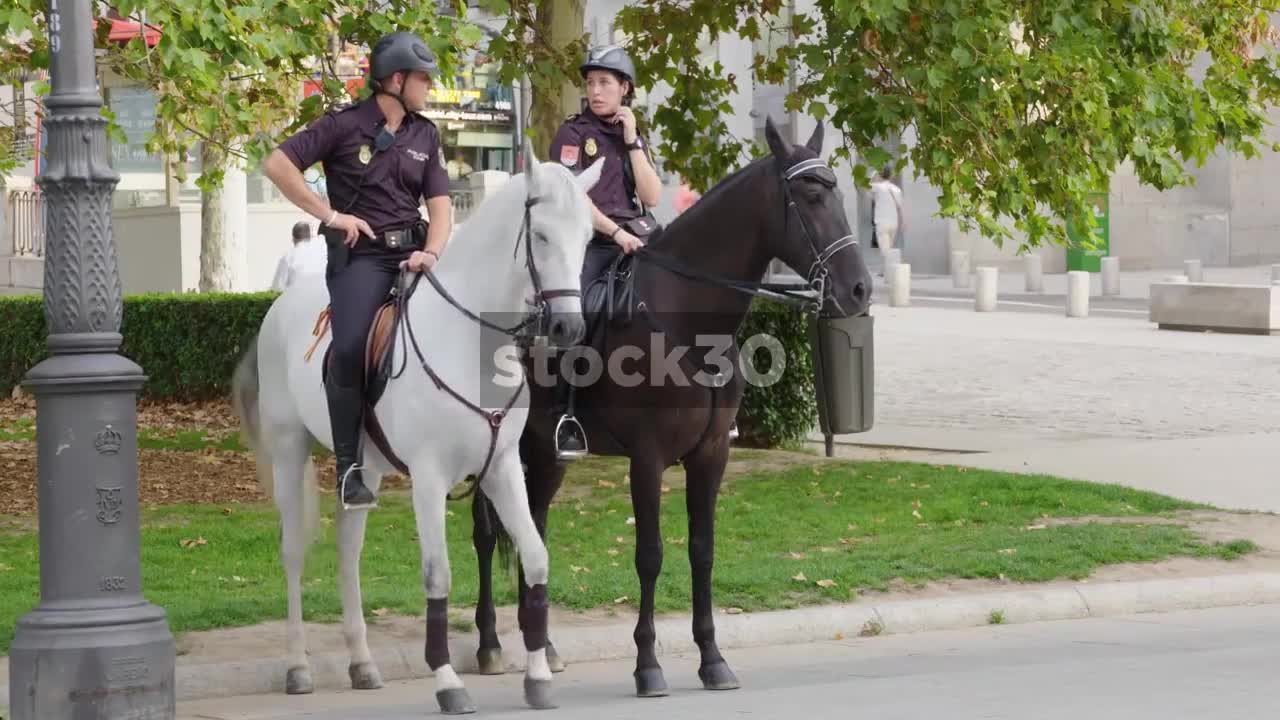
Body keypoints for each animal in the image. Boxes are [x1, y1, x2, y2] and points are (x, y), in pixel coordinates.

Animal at [231, 141, 604, 712]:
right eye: (540, 235)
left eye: (586, 237)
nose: (568, 327)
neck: (473, 342)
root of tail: (278, 311)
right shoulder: (428, 479)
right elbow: (438, 572)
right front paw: (447, 681)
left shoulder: (503, 470)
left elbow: (536, 557)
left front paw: (538, 675)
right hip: (291, 451)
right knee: (294, 551)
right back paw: (298, 667)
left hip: (364, 470)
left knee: (348, 551)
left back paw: (362, 662)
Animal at [476, 116, 875, 696]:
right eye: (810, 196)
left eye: (838, 193)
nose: (860, 288)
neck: (688, 317)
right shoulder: (647, 459)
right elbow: (650, 555)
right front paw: (648, 664)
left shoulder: (711, 455)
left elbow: (702, 551)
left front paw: (712, 657)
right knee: (486, 534)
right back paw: (488, 643)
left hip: (547, 452)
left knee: (536, 527)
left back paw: (542, 643)